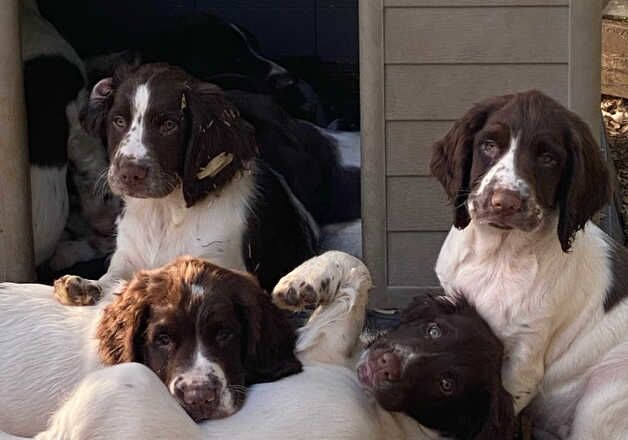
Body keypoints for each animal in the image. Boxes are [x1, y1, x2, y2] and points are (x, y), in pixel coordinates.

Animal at [53, 61, 316, 306]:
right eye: (118, 121)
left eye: (169, 125)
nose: (129, 173)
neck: (163, 212)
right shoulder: (126, 257)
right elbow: (110, 279)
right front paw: (84, 285)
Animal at [430, 88, 628, 436]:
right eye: (489, 145)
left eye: (548, 159)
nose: (504, 202)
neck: (498, 255)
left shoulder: (523, 359)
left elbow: (498, 416)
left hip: (604, 394)